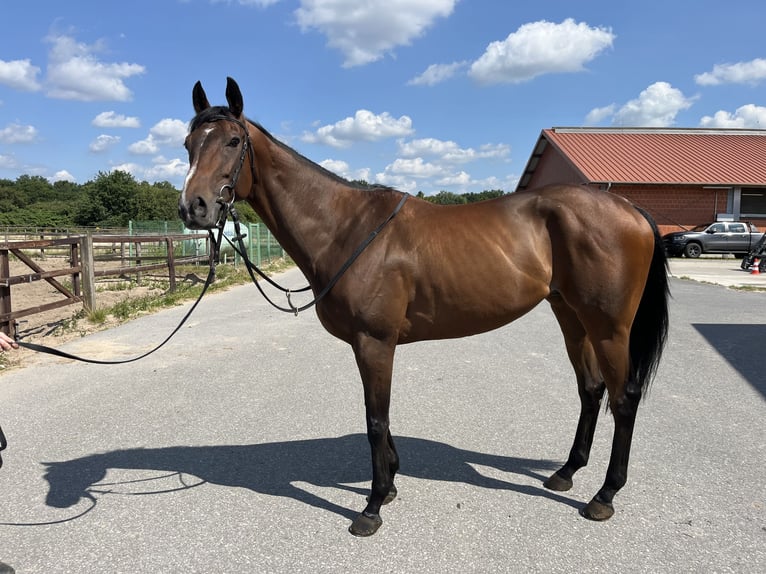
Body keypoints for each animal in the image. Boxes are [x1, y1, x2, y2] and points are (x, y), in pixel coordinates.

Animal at [177, 77, 668, 540]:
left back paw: (604, 495)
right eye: (188, 144)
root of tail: (630, 208)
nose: (193, 208)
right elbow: (381, 416)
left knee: (623, 398)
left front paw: (372, 507)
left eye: (233, 141)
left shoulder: (374, 342)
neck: (344, 228)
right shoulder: (371, 345)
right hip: (571, 317)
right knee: (591, 390)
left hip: (609, 328)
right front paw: (391, 483)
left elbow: (375, 420)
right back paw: (566, 473)